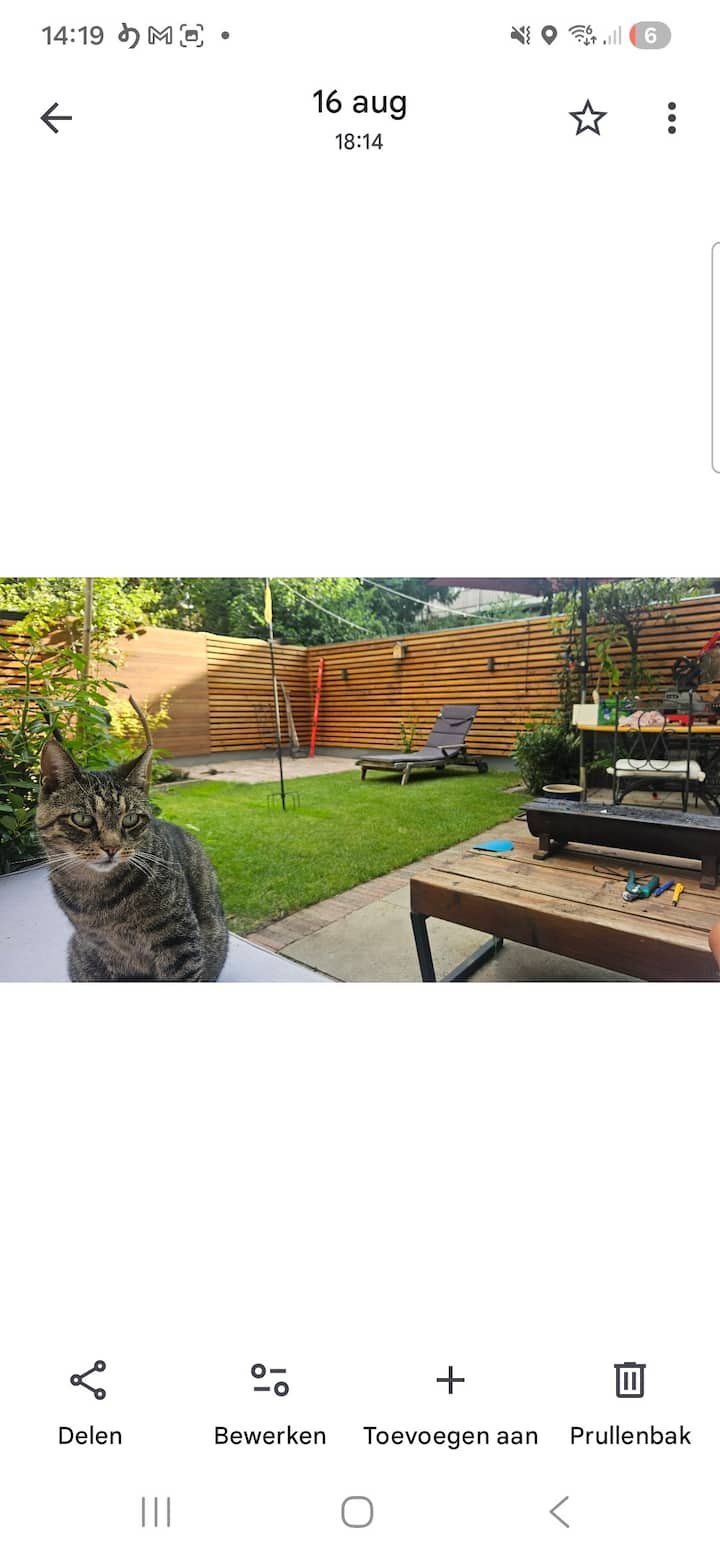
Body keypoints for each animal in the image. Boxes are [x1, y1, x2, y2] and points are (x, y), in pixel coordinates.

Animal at [36, 698, 228, 982]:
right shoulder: (101, 948)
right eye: (82, 818)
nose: (112, 847)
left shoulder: (178, 938)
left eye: (130, 819)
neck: (98, 897)